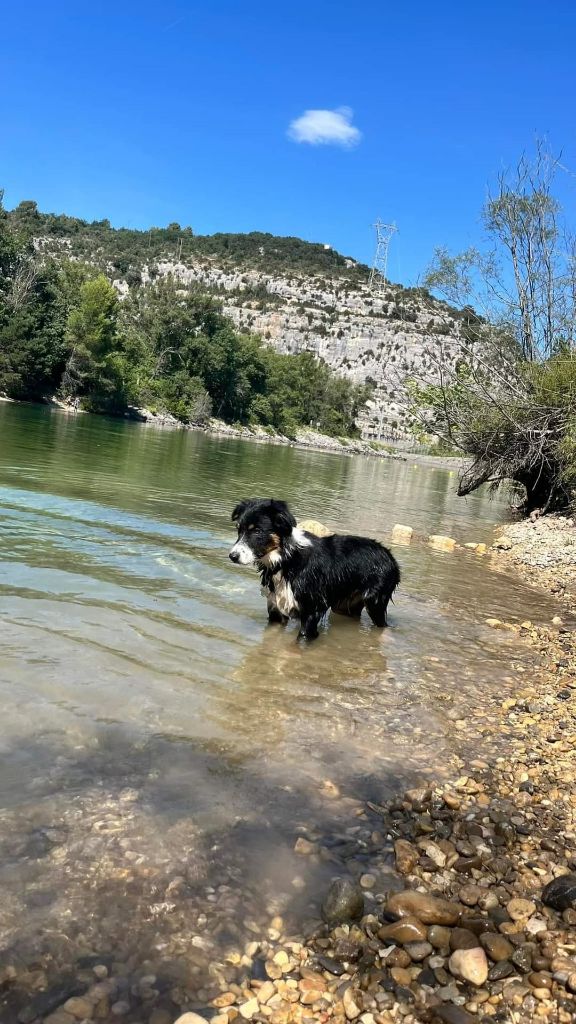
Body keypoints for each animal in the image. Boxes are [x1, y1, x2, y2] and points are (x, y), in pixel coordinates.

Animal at [226, 497, 397, 638]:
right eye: (239, 529)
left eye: (257, 530)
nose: (232, 556)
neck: (286, 559)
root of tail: (389, 556)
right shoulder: (276, 611)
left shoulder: (311, 611)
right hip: (344, 606)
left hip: (375, 602)